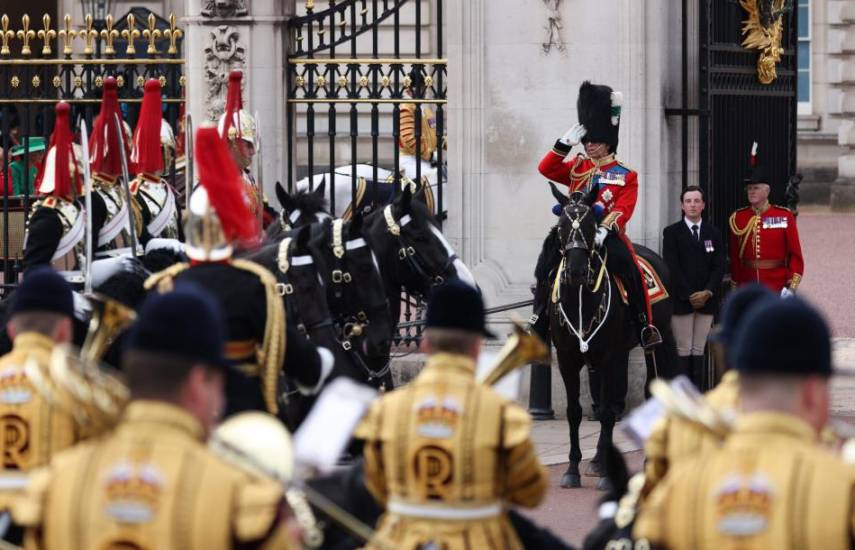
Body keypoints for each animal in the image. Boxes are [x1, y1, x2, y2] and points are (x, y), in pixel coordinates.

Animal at [552, 192, 680, 490]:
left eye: (590, 226)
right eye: (562, 225)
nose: (576, 271)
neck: (580, 300)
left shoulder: (610, 357)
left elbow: (609, 413)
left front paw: (607, 476)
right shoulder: (567, 359)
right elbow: (575, 412)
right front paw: (573, 470)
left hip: (658, 339)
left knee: (651, 389)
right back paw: (599, 461)